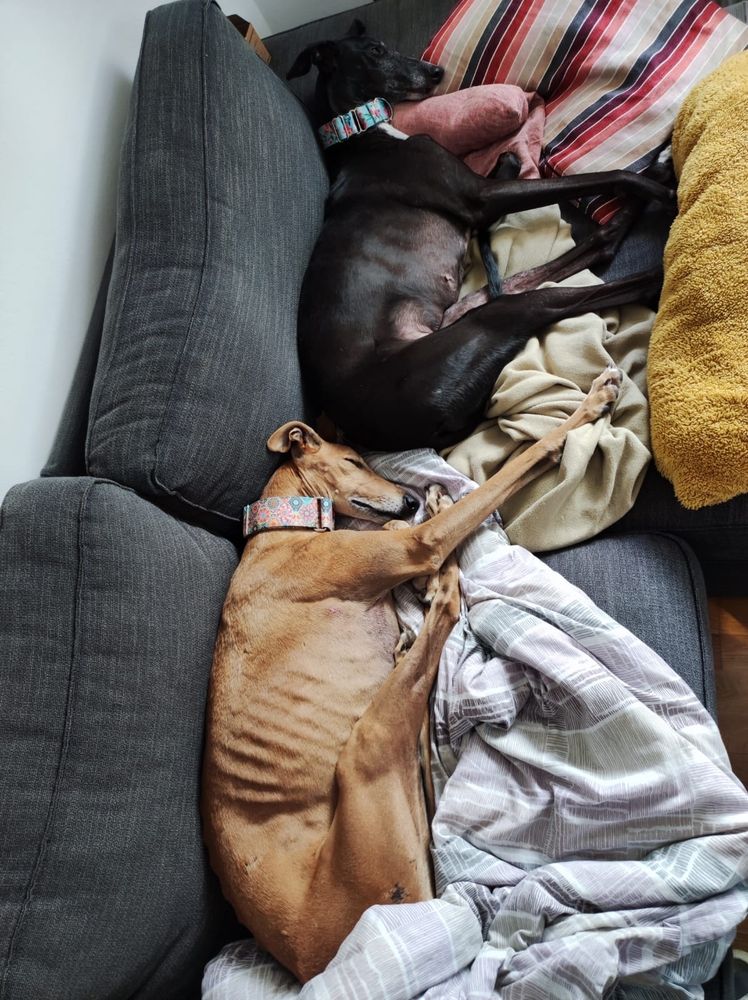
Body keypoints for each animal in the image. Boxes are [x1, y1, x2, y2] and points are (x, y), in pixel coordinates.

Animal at [202, 367, 624, 983]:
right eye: (354, 460)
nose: (406, 498)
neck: (286, 529)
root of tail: (311, 960)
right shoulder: (412, 544)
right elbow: (519, 463)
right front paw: (589, 407)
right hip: (368, 753)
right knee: (444, 612)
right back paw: (439, 584)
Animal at [286, 20, 672, 452]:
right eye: (375, 51)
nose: (436, 72)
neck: (358, 133)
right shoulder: (480, 197)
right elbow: (607, 176)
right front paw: (648, 186)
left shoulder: (482, 192)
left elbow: (510, 164)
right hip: (488, 325)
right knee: (578, 291)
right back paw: (663, 270)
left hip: (465, 314)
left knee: (585, 251)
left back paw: (656, 175)